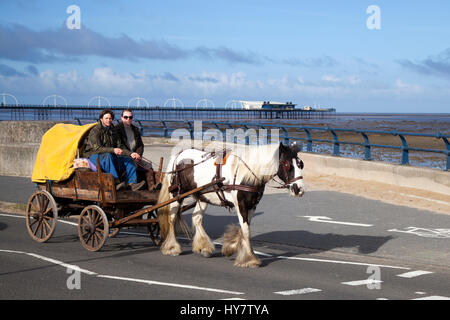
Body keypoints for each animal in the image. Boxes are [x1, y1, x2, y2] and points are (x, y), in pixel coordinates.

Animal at [156, 142, 306, 268]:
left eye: (301, 164)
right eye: (286, 165)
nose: (299, 189)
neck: (247, 174)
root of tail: (179, 155)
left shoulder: (251, 206)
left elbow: (245, 228)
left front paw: (232, 247)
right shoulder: (241, 204)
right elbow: (245, 229)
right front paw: (249, 259)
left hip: (202, 196)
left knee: (196, 218)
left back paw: (204, 247)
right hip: (177, 195)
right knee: (172, 218)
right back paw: (172, 247)